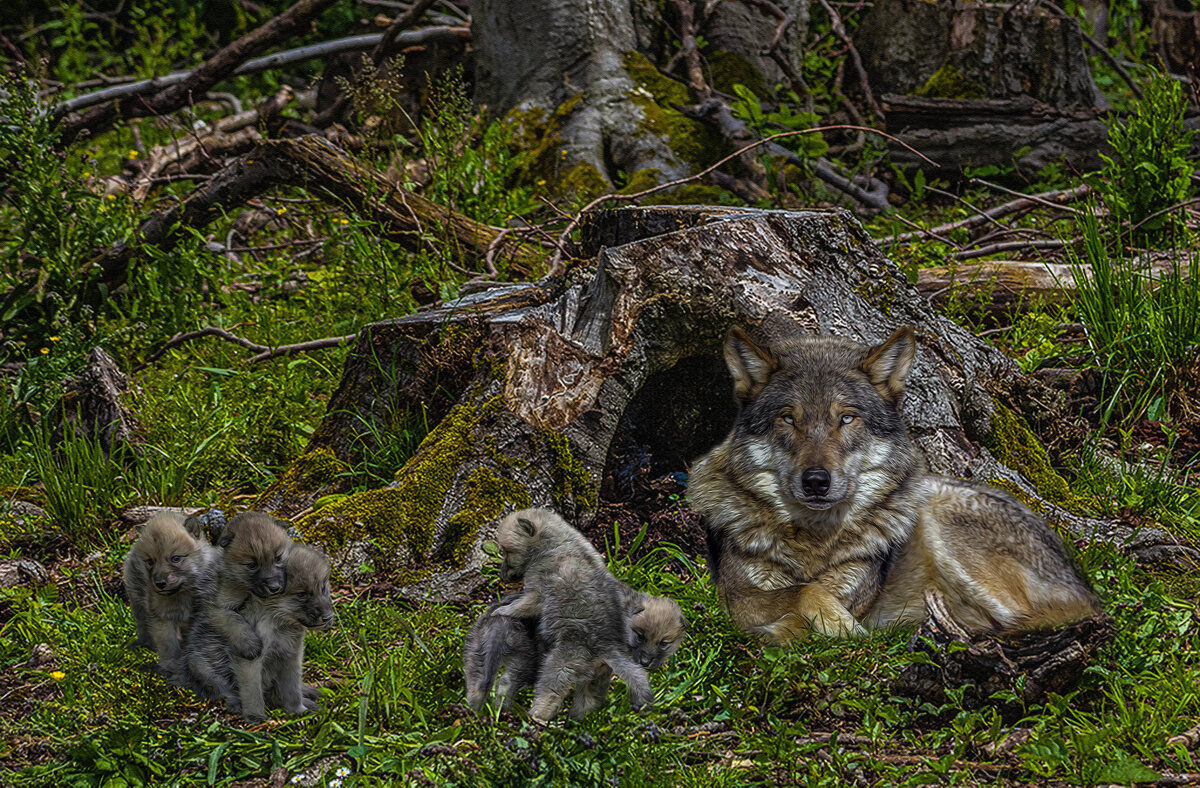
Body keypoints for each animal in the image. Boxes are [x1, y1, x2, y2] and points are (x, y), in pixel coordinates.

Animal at [691, 323, 1099, 642]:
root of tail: (1079, 577)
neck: (813, 542)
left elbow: (807, 596)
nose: (816, 482)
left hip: (941, 519)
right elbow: (800, 592)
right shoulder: (736, 593)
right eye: (788, 419)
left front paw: (833, 628)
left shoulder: (851, 591)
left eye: (847, 418)